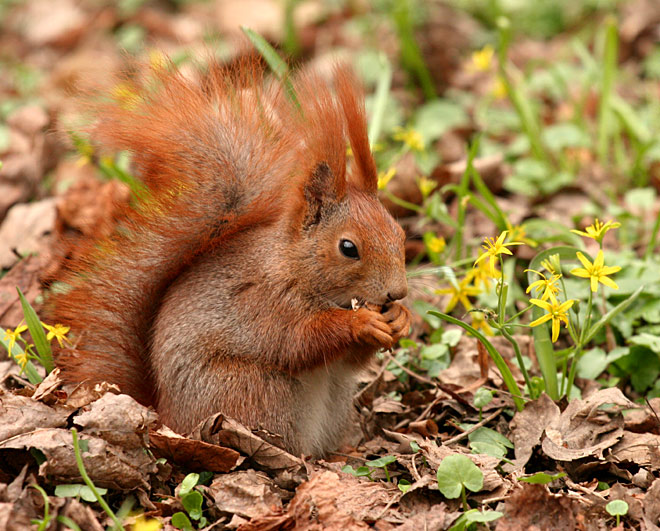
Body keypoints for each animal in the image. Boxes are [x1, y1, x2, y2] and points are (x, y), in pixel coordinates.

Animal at [50, 58, 412, 458]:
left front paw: (400, 319)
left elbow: (348, 361)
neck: (294, 266)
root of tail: (164, 414)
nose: (397, 292)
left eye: (400, 234)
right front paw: (360, 323)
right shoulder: (264, 303)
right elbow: (298, 342)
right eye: (348, 248)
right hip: (254, 392)